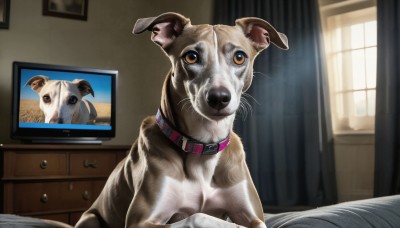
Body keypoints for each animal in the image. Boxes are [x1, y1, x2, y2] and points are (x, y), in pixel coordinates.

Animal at [75, 12, 288, 228]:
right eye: (191, 56)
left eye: (239, 57)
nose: (219, 97)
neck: (204, 146)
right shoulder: (140, 221)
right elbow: (197, 216)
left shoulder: (254, 215)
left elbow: (258, 223)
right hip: (90, 219)